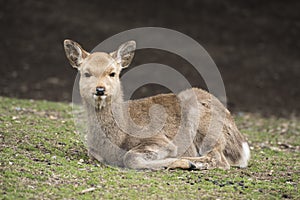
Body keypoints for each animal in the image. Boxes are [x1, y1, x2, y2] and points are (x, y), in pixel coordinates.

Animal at [63, 39, 251, 170]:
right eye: (86, 73)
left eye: (112, 73)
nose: (100, 89)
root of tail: (241, 144)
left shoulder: (159, 139)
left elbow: (130, 157)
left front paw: (178, 161)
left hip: (208, 127)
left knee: (219, 160)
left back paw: (190, 163)